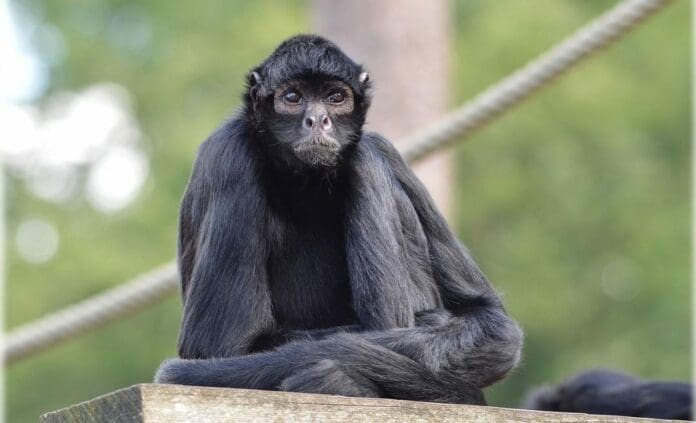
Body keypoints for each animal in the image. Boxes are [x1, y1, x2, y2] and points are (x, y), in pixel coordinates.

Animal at [154, 34, 520, 404]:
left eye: (335, 98)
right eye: (292, 97)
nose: (318, 120)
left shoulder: (384, 147)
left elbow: (492, 321)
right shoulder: (228, 157)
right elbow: (219, 347)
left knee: (364, 159)